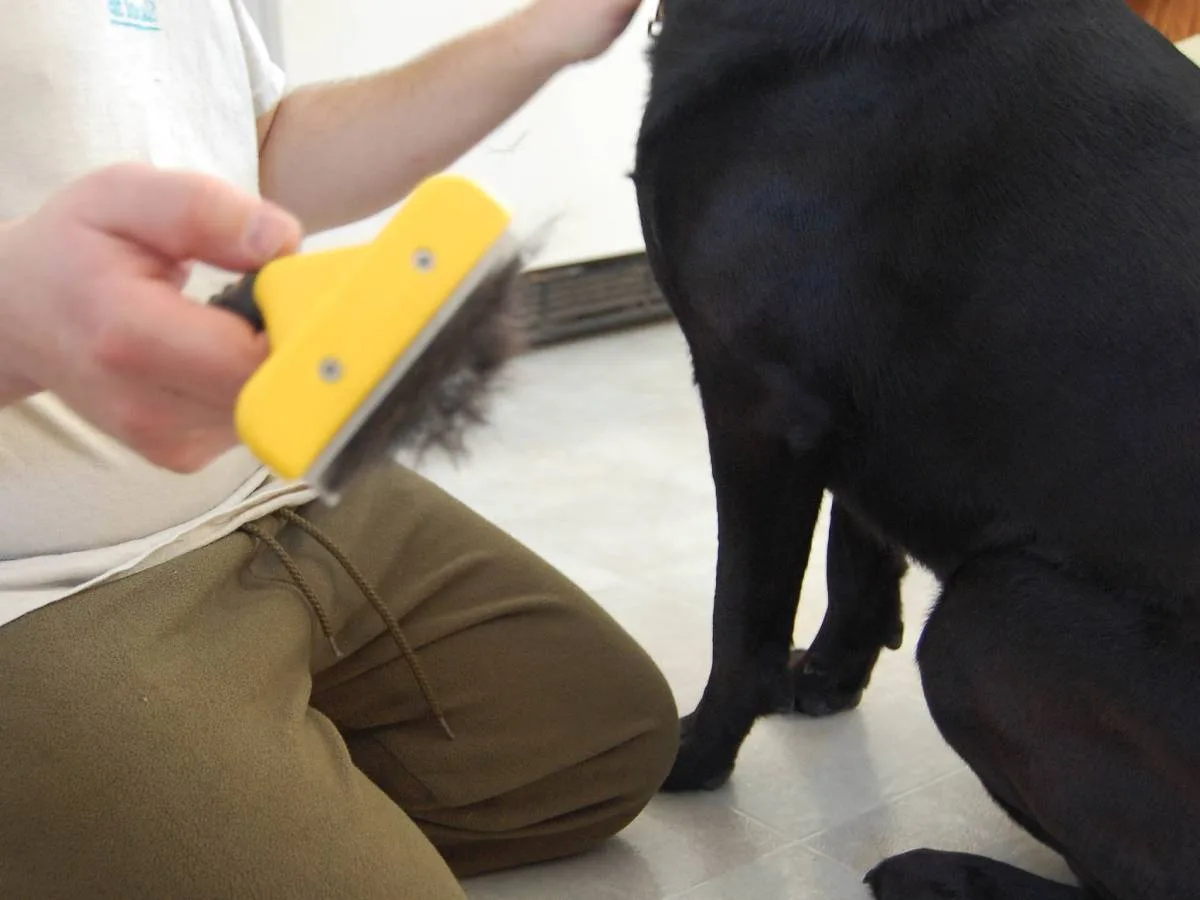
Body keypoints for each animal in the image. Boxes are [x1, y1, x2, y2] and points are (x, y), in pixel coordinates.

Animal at [633, 1, 1200, 900]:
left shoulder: (754, 400)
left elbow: (743, 616)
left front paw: (693, 755)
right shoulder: (837, 411)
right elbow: (857, 547)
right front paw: (831, 674)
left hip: (988, 618)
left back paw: (943, 871)